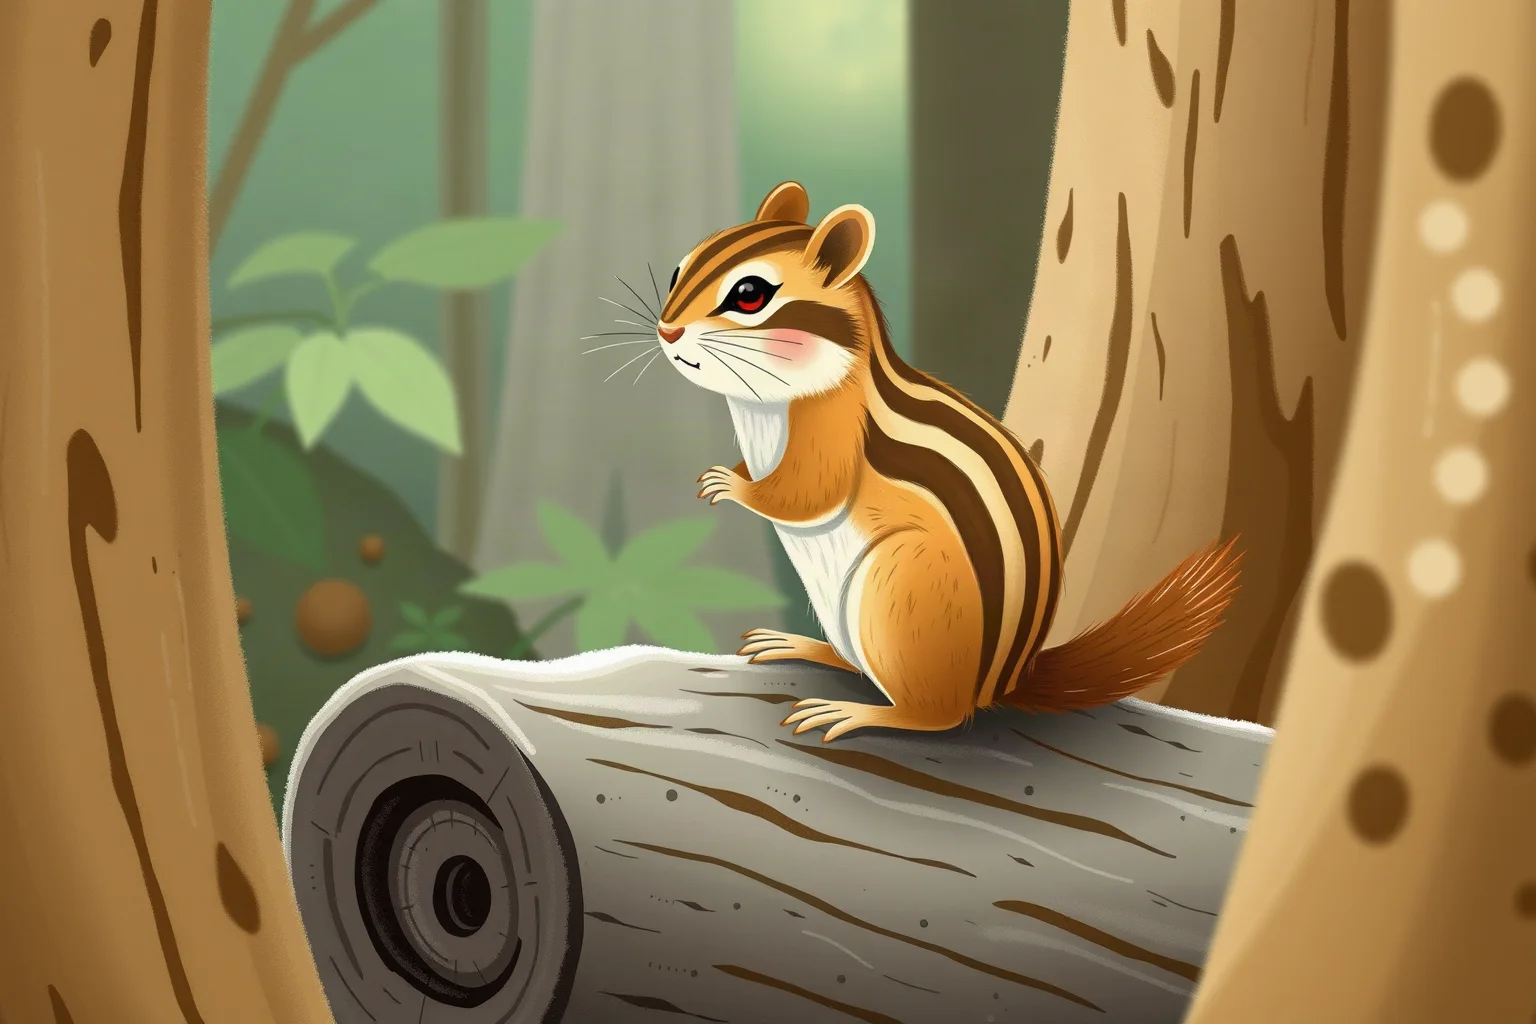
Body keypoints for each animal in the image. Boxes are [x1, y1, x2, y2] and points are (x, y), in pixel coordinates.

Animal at [654, 180, 1243, 742]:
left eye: (749, 295)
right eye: (679, 269)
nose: (666, 330)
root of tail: (1005, 684)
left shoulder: (832, 435)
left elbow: (804, 493)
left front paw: (728, 484)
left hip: (900, 591)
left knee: (939, 715)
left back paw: (858, 712)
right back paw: (802, 646)